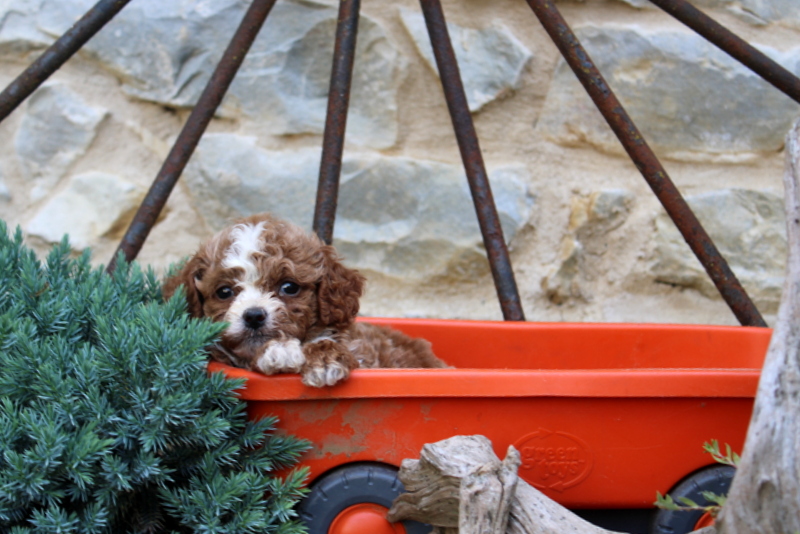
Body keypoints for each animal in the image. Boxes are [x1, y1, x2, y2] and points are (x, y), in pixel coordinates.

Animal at [162, 215, 446, 390]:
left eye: (289, 287)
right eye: (224, 292)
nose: (254, 315)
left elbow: (328, 343)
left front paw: (325, 362)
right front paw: (279, 351)